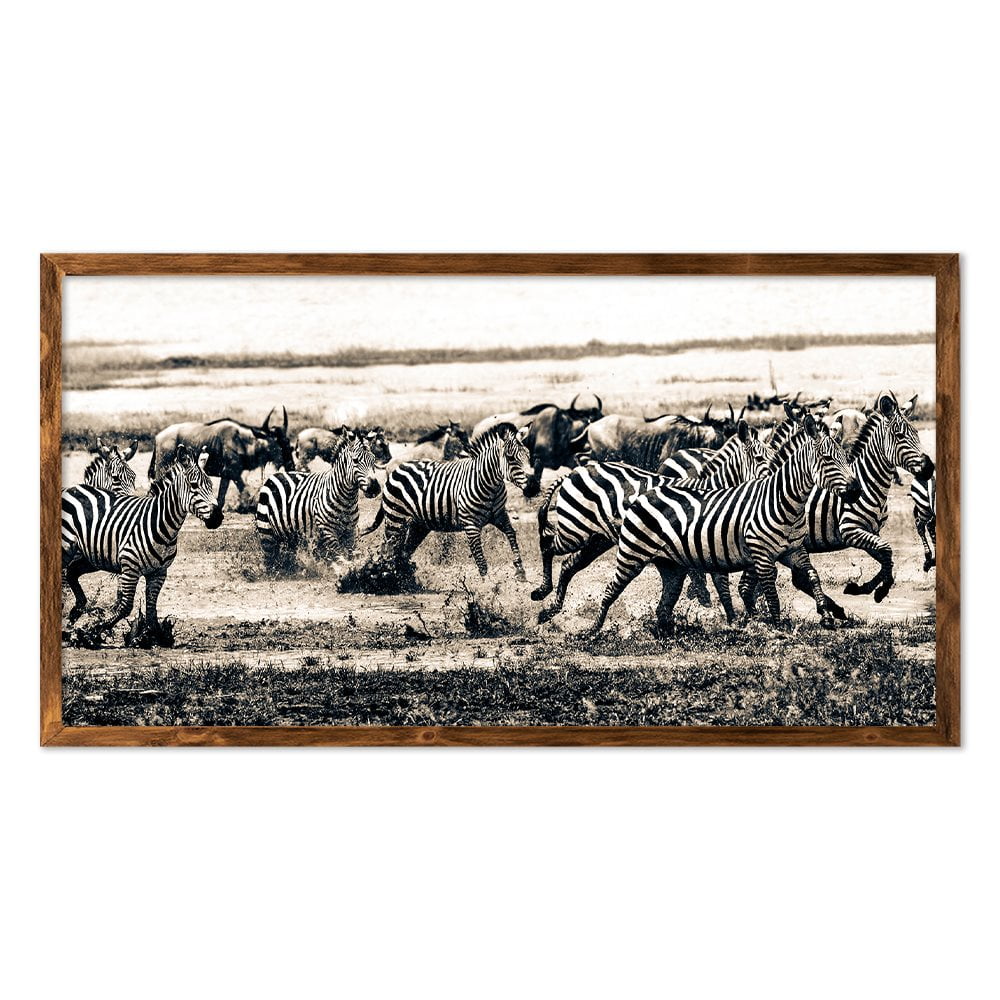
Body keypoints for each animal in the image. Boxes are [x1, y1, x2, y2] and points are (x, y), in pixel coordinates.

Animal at [61, 446, 223, 644]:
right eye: (194, 485)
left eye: (211, 485)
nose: (218, 517)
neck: (162, 525)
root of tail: (73, 488)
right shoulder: (130, 568)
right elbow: (125, 607)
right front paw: (93, 630)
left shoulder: (159, 573)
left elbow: (152, 610)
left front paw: (156, 636)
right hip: (67, 549)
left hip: (92, 557)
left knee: (71, 572)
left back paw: (74, 615)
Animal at [256, 430, 381, 573]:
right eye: (355, 460)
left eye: (373, 460)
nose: (374, 487)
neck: (346, 500)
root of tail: (276, 475)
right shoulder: (327, 530)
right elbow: (339, 555)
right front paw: (344, 571)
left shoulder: (350, 531)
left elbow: (351, 554)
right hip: (266, 532)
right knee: (270, 560)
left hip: (291, 534)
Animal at [361, 422, 533, 580]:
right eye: (510, 458)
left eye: (528, 456)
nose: (534, 486)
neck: (489, 485)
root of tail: (396, 469)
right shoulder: (470, 525)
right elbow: (480, 558)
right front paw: (487, 585)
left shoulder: (499, 515)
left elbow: (511, 534)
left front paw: (520, 571)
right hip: (396, 519)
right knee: (387, 549)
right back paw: (384, 577)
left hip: (418, 525)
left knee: (403, 552)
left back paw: (403, 578)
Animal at [531, 421, 774, 623]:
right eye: (760, 459)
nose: (773, 482)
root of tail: (576, 471)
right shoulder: (706, 542)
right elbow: (719, 584)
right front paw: (737, 620)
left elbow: (719, 586)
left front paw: (736, 619)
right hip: (575, 529)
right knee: (548, 545)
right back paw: (542, 591)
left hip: (597, 539)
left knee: (568, 565)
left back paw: (550, 610)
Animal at [582, 415, 860, 637]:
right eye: (827, 459)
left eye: (846, 458)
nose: (856, 489)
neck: (786, 503)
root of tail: (642, 496)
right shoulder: (760, 555)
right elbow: (769, 592)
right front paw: (776, 626)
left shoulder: (794, 550)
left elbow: (813, 576)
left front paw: (826, 616)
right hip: (632, 555)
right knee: (610, 589)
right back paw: (593, 630)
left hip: (671, 566)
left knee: (665, 602)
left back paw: (668, 632)